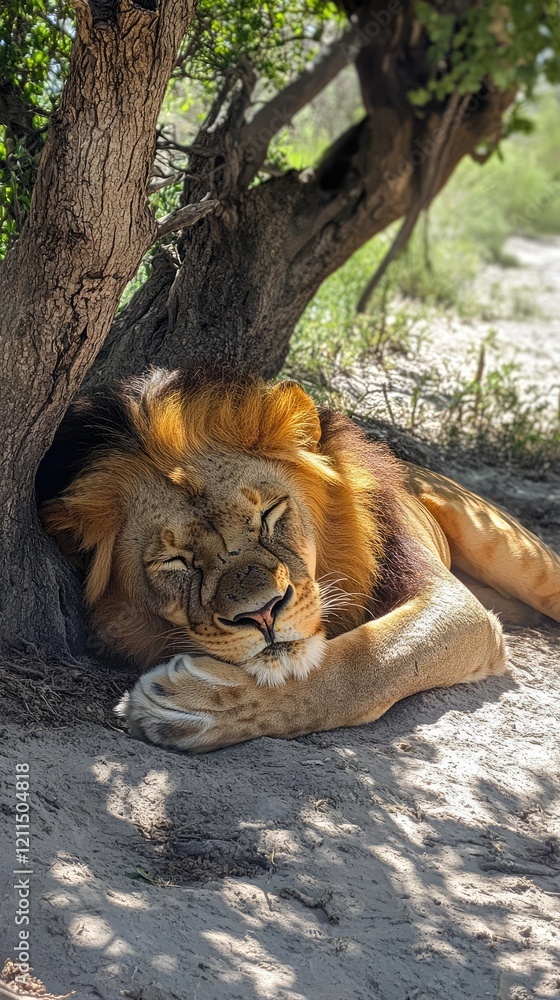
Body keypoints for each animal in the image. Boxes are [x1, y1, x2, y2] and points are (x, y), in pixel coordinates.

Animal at [39, 369, 560, 751]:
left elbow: (368, 661)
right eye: (177, 561)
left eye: (269, 515)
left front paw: (197, 707)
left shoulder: (452, 603)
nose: (262, 612)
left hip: (520, 556)